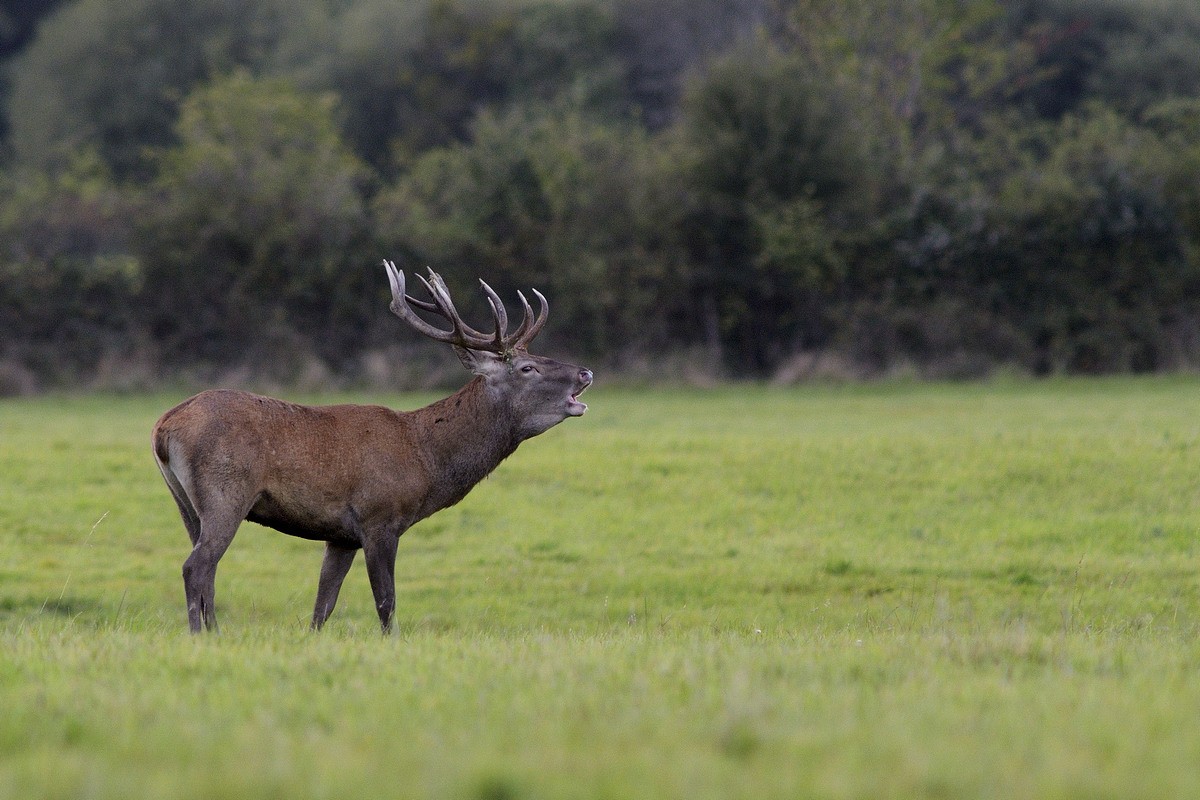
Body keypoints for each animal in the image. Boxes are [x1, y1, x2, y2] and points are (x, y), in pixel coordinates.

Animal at [152, 262, 592, 633]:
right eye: (527, 368)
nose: (585, 372)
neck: (426, 459)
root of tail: (162, 428)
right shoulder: (379, 517)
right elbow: (386, 603)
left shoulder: (340, 536)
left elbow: (322, 608)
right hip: (225, 492)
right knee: (197, 567)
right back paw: (201, 636)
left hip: (186, 503)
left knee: (206, 569)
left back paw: (214, 632)